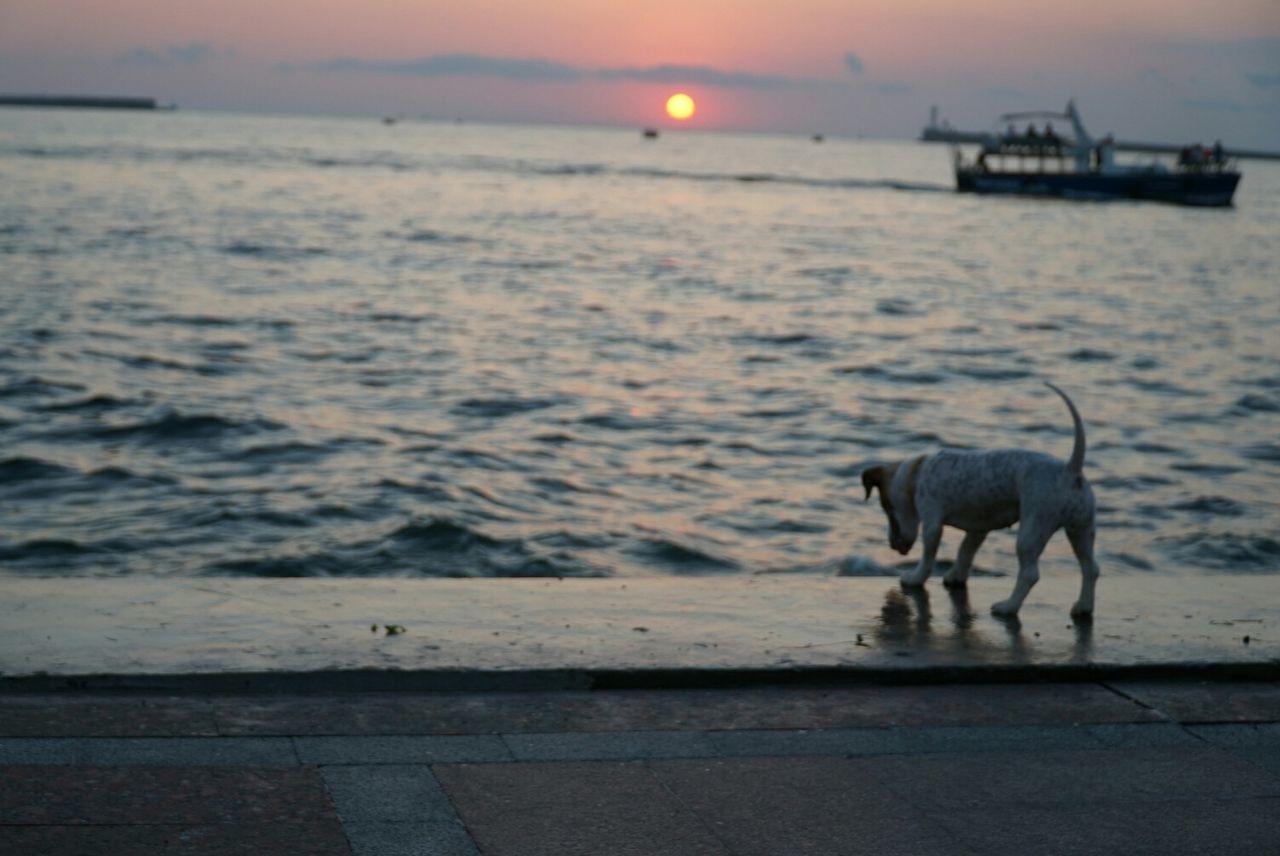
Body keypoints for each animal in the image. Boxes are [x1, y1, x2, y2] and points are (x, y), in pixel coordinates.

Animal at [860, 383, 1100, 616]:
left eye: (886, 507)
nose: (892, 545)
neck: (916, 474)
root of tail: (1071, 471)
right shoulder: (979, 529)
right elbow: (965, 551)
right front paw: (955, 576)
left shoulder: (932, 523)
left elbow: (928, 556)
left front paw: (915, 578)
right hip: (1081, 529)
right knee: (1091, 568)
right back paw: (1083, 607)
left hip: (1033, 530)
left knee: (1030, 573)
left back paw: (1008, 607)